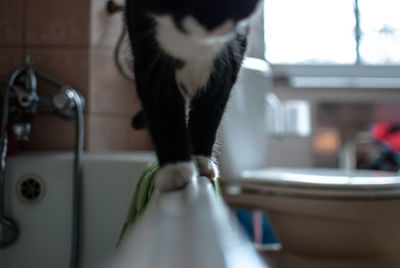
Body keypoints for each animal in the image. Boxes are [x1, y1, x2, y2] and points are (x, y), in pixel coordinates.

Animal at [126, 0, 260, 191]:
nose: (211, 19)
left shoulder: (226, 68)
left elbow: (208, 115)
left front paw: (201, 161)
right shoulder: (150, 61)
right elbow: (164, 109)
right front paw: (175, 168)